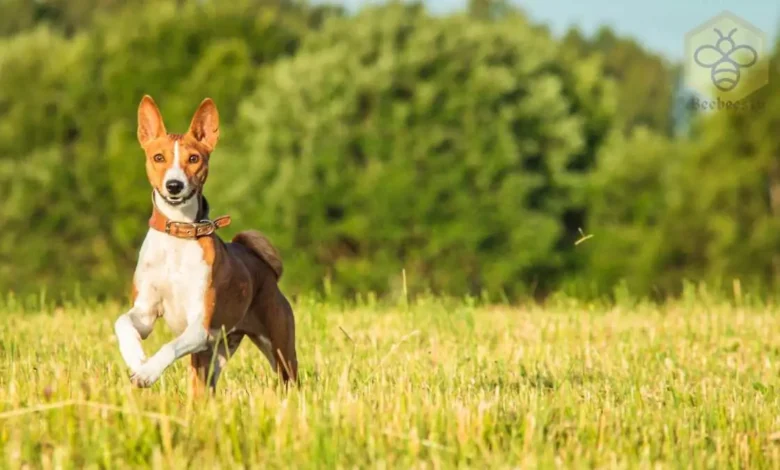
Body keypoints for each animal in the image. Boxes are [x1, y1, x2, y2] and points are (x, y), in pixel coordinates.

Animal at [113, 95, 298, 392]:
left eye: (193, 158)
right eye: (158, 157)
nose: (174, 185)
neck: (178, 236)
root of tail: (265, 270)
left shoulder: (199, 326)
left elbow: (168, 346)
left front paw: (148, 372)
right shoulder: (145, 312)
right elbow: (122, 323)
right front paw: (136, 358)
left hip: (279, 352)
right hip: (213, 356)